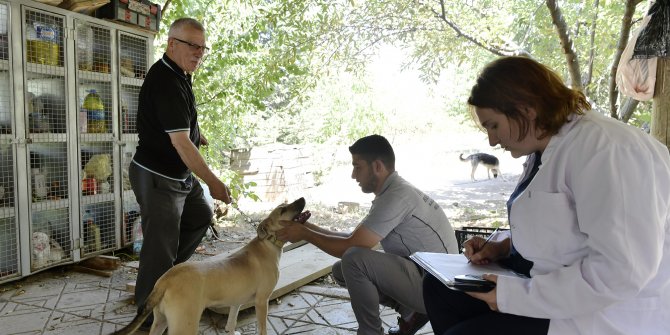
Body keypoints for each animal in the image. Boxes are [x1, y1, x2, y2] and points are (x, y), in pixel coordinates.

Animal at [111, 198, 310, 334]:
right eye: (283, 210)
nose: (302, 198)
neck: (267, 243)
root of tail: (165, 280)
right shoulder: (262, 301)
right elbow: (262, 329)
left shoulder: (236, 302)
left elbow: (231, 323)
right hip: (185, 325)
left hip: (160, 321)